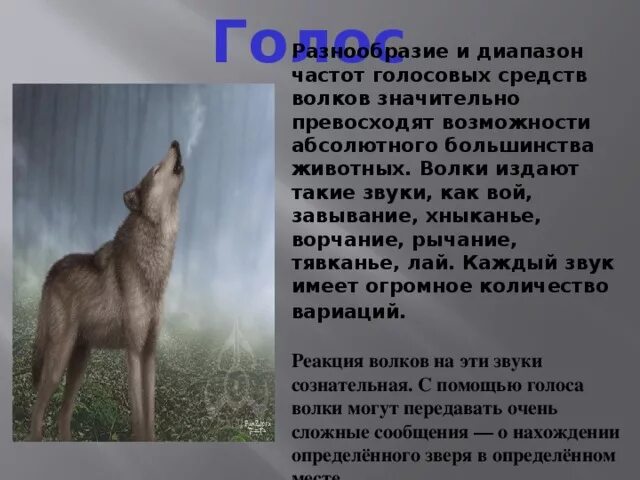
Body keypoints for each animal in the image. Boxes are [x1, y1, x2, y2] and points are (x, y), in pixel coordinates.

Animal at [29, 140, 185, 441]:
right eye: (156, 169)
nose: (174, 142)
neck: (152, 270)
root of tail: (50, 271)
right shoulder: (134, 351)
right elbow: (138, 418)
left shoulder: (150, 354)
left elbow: (150, 419)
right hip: (57, 362)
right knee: (38, 410)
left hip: (79, 363)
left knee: (63, 414)